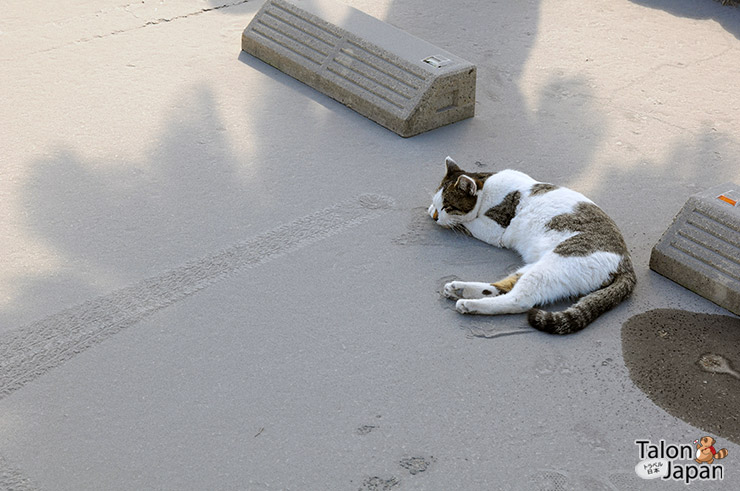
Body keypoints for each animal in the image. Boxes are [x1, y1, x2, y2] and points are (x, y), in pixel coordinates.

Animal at [428, 158, 636, 334]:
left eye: (448, 207)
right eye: (437, 203)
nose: (435, 216)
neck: (486, 185)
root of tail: (625, 262)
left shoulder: (495, 230)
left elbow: (467, 222)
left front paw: (449, 221)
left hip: (553, 266)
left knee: (518, 300)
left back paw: (469, 304)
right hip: (538, 267)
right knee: (502, 287)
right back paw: (460, 289)